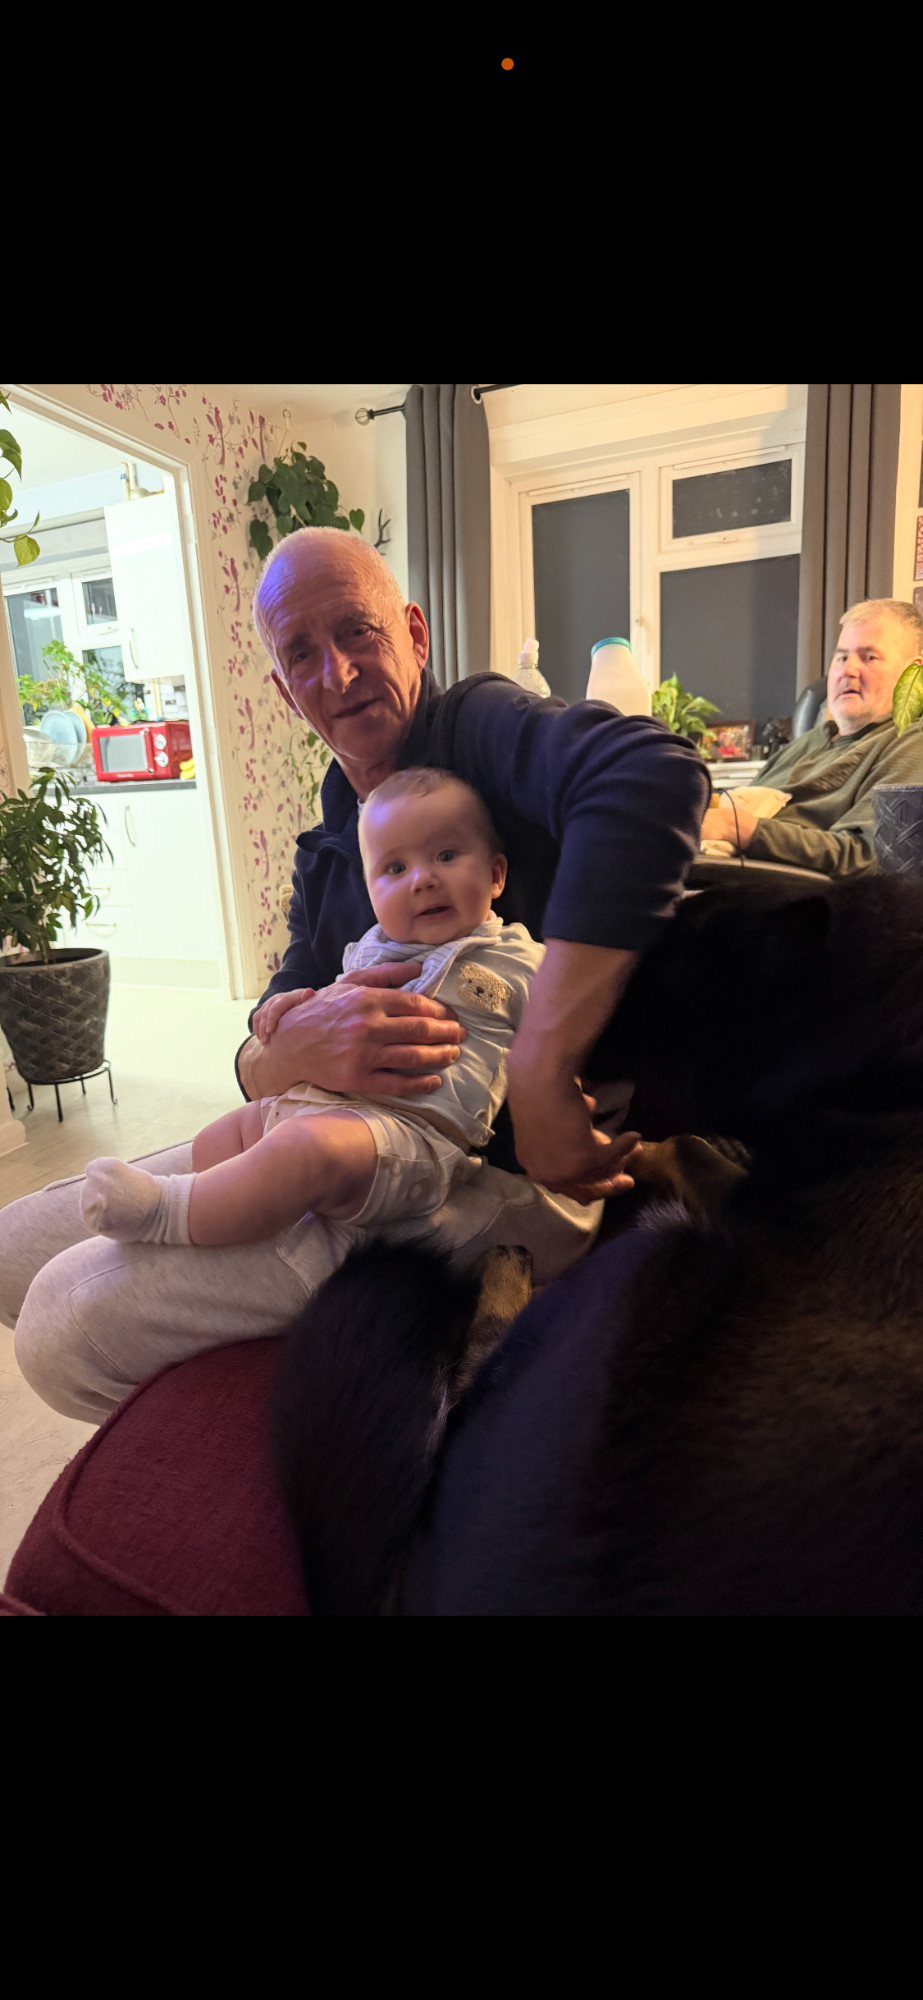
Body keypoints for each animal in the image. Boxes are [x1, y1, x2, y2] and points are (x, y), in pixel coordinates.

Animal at [271, 874, 923, 1617]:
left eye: (645, 971)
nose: (543, 1036)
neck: (883, 1067)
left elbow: (682, 1143)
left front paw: (637, 1151)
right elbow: (688, 1143)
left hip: (643, 1260)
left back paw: (508, 1269)